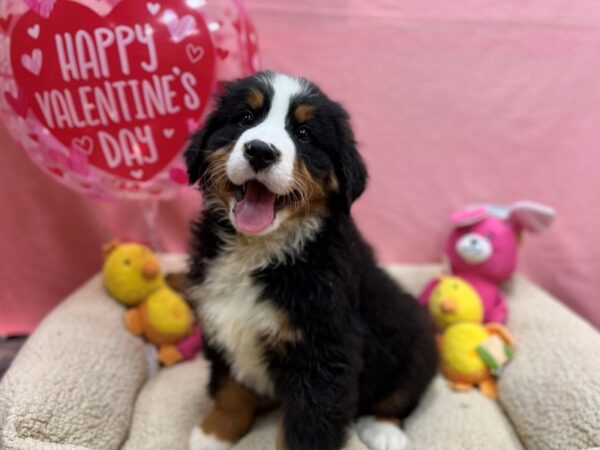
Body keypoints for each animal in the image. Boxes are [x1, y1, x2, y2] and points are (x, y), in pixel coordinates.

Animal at [183, 71, 436, 450]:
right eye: (245, 118)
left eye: (303, 133)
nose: (260, 150)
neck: (257, 249)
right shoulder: (221, 320)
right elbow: (230, 388)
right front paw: (214, 434)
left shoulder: (324, 351)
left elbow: (306, 428)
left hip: (413, 340)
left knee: (401, 395)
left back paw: (384, 430)